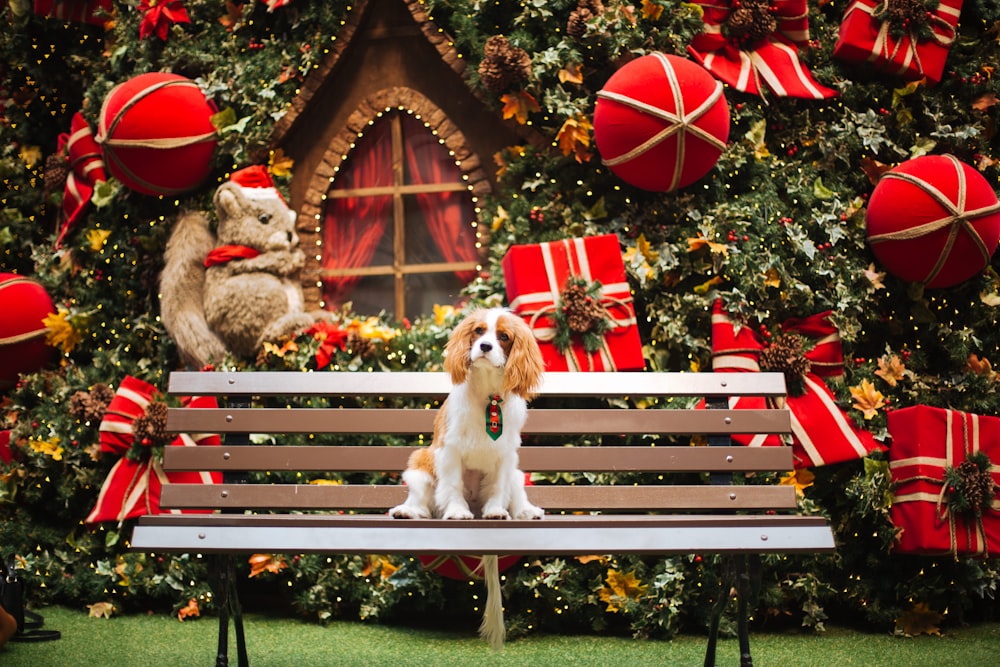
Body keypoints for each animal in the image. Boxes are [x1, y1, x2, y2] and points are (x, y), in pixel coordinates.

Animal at [390, 306, 548, 648]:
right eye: (478, 332)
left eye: (503, 336)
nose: (485, 346)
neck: (488, 393)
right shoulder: (449, 452)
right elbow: (452, 487)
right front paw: (457, 513)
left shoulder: (506, 456)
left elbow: (498, 490)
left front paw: (496, 512)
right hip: (421, 462)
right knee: (421, 498)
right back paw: (408, 511)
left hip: (518, 473)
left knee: (517, 493)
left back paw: (526, 511)